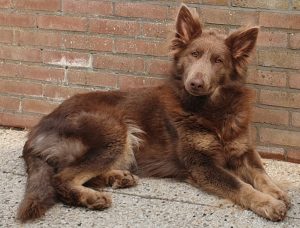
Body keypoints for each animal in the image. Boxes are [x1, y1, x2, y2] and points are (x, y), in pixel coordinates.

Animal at [17, 4, 290, 223]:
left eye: (218, 60)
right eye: (194, 55)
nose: (195, 84)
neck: (211, 110)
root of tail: (35, 132)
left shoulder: (244, 149)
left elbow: (261, 173)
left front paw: (276, 192)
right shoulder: (201, 164)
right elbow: (240, 185)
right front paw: (268, 203)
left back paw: (117, 177)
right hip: (114, 128)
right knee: (62, 177)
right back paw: (92, 197)